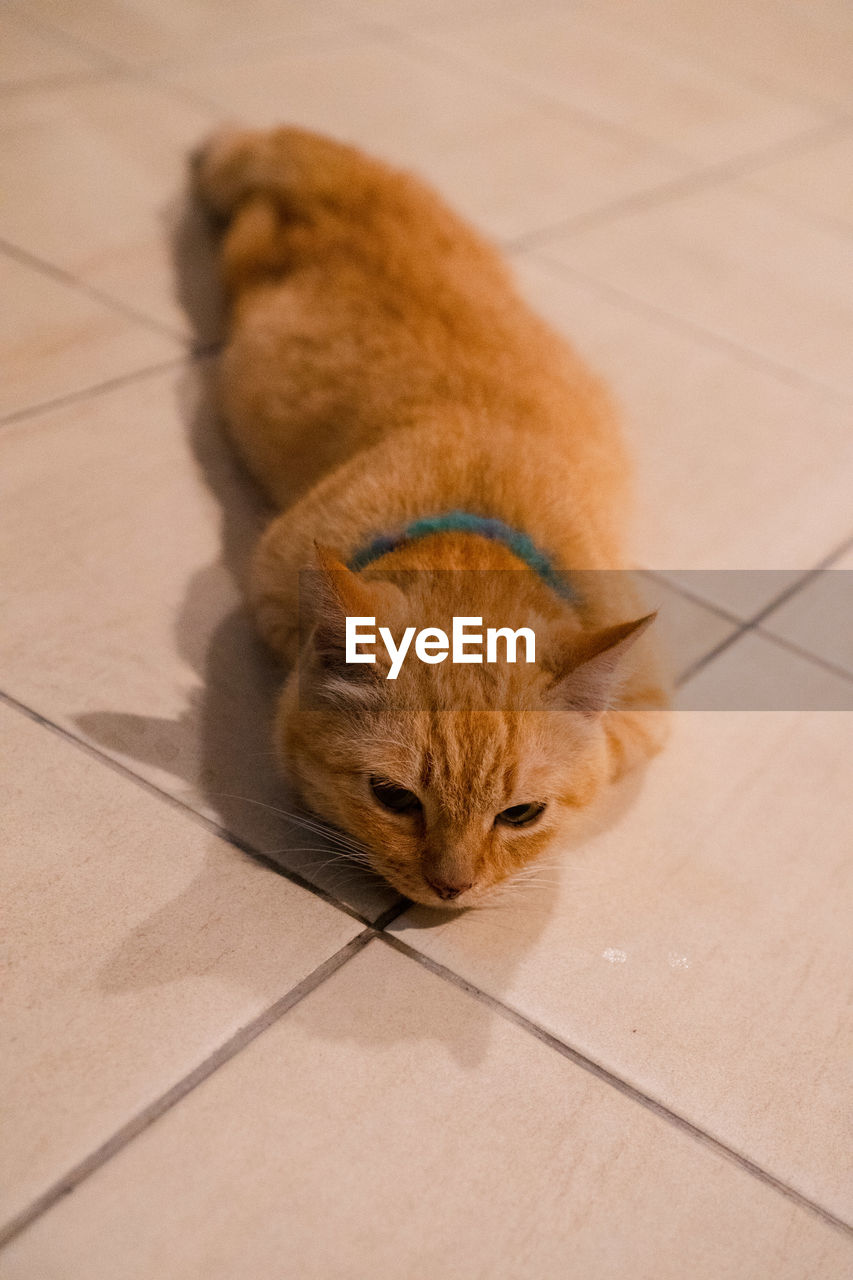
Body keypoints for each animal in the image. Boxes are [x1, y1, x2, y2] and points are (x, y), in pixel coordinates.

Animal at [192, 127, 666, 911]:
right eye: (394, 799)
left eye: (520, 815)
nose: (451, 888)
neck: (476, 519)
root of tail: (348, 187)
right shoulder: (272, 586)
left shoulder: (646, 705)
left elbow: (604, 757)